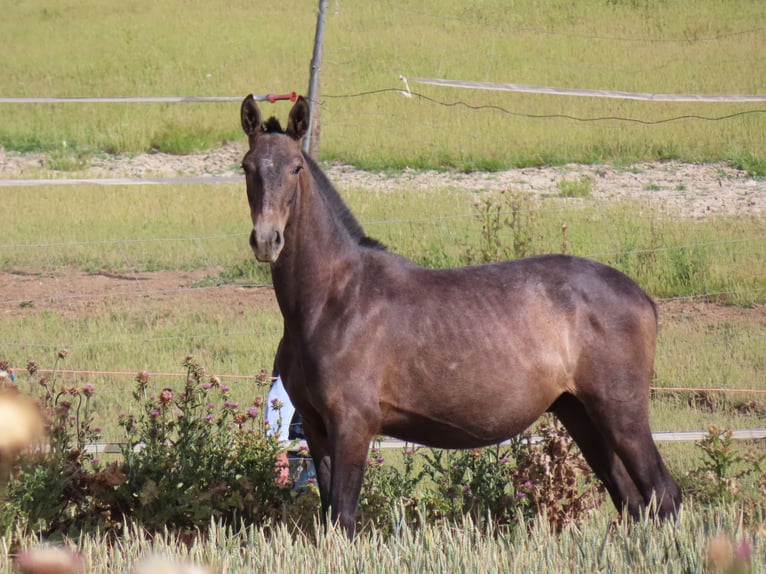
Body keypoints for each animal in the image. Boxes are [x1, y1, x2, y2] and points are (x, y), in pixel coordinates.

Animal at [242, 92, 684, 536]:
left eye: (295, 168)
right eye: (247, 167)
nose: (266, 240)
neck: (333, 300)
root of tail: (642, 297)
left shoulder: (352, 425)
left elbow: (344, 517)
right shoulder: (317, 430)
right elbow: (330, 516)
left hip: (621, 413)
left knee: (663, 493)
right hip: (581, 415)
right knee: (632, 500)